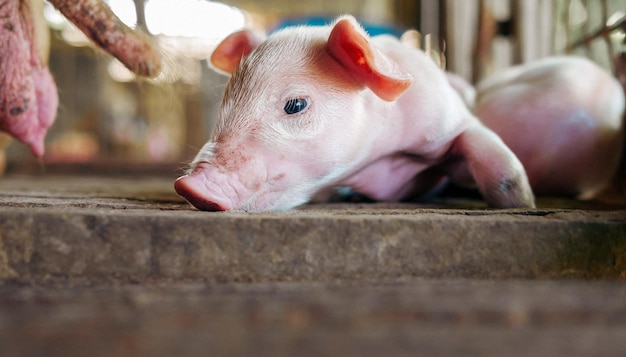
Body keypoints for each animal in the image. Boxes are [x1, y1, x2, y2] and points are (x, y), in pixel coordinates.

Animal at [174, 16, 532, 211]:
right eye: (228, 98)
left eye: (295, 104)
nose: (189, 185)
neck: (375, 164)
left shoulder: (449, 119)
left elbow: (499, 165)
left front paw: (523, 205)